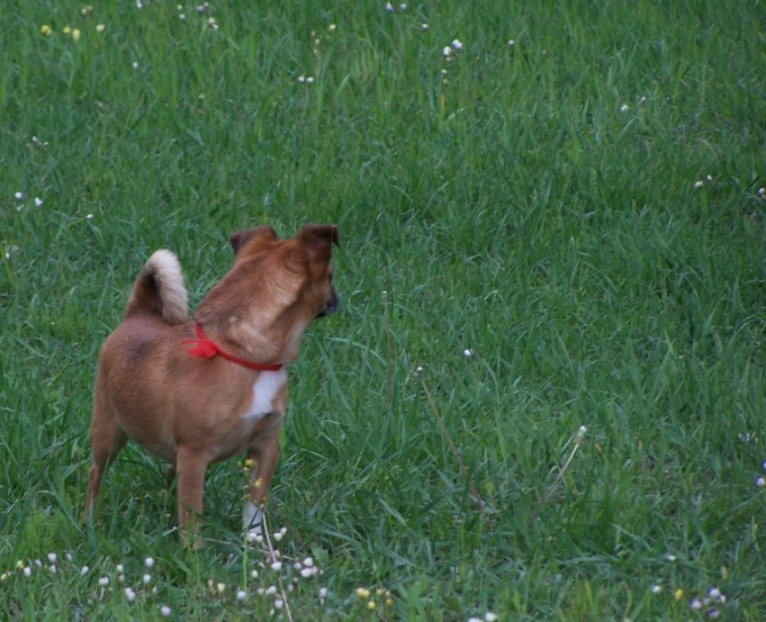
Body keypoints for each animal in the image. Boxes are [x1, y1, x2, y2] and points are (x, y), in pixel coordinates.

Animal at [84, 227, 340, 548]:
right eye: (330, 275)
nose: (337, 298)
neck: (243, 355)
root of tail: (138, 314)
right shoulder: (194, 455)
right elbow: (193, 516)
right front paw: (193, 553)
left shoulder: (264, 446)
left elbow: (254, 505)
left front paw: (255, 543)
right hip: (107, 434)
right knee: (96, 474)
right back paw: (89, 522)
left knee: (171, 478)